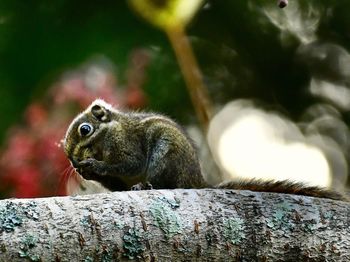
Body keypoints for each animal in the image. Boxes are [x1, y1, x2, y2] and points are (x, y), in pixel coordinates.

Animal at [63, 99, 348, 202]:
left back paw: (145, 185)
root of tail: (196, 180)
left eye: (85, 130)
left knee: (162, 181)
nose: (75, 163)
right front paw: (89, 172)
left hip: (165, 155)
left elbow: (129, 164)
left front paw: (95, 166)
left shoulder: (125, 143)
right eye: (66, 153)